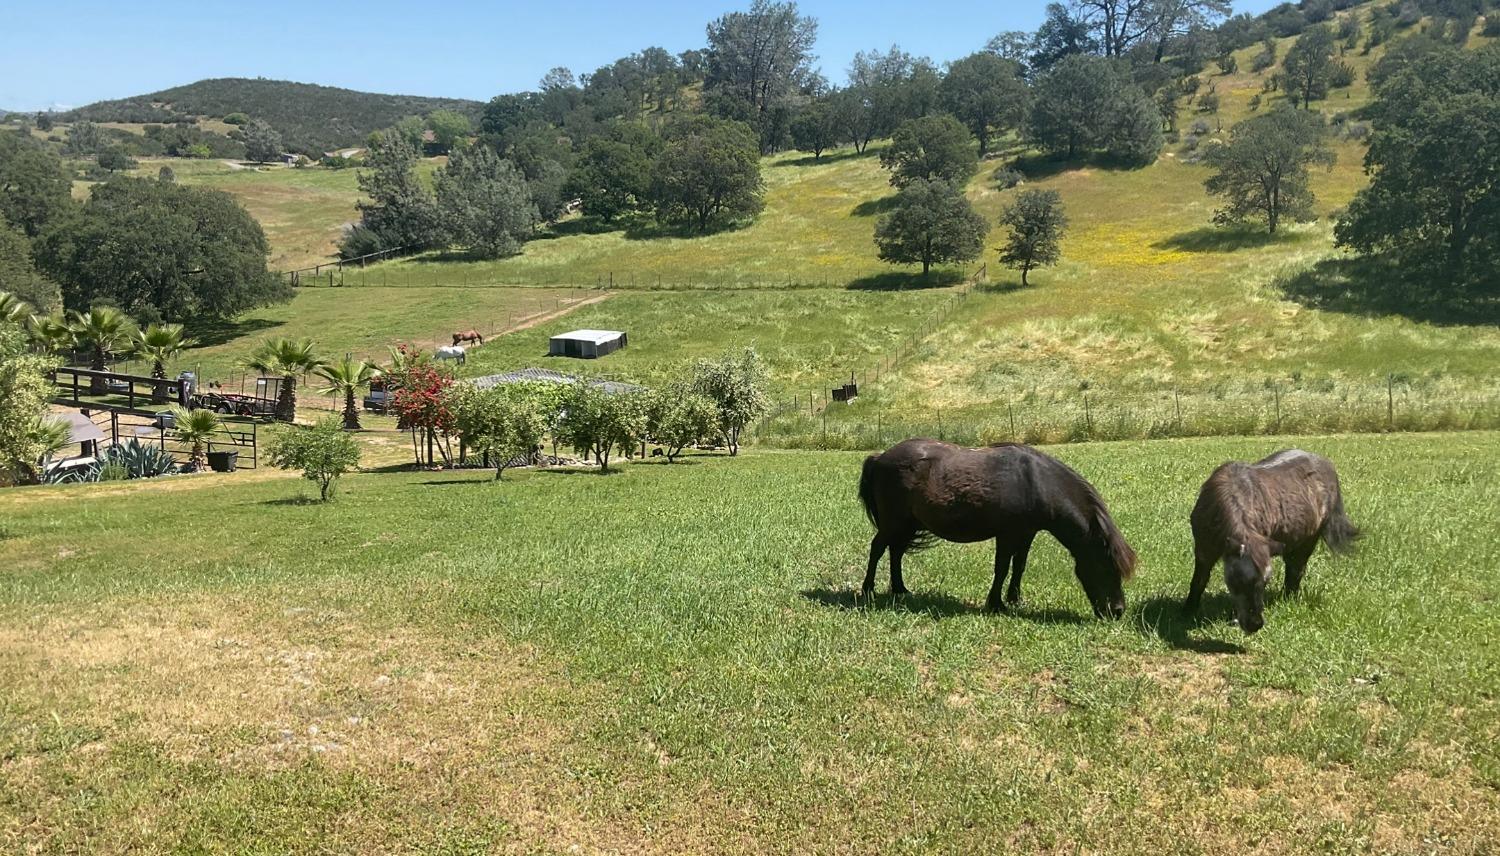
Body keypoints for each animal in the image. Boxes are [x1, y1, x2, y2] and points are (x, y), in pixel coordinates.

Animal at [858, 440, 1134, 617]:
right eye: (1107, 567)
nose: (1118, 611)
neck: (1036, 483)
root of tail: (879, 457)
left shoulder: (1026, 533)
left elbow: (1019, 566)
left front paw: (1015, 599)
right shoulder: (1007, 534)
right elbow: (1001, 567)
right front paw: (996, 603)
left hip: (907, 524)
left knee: (895, 552)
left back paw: (900, 589)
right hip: (893, 522)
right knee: (878, 548)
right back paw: (868, 590)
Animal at [1182, 452, 1362, 632]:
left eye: (1265, 581)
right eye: (1239, 579)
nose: (1255, 624)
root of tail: (1327, 465)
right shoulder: (1203, 551)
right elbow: (1198, 581)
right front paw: (1188, 611)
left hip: (1308, 542)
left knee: (1296, 571)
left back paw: (1288, 598)